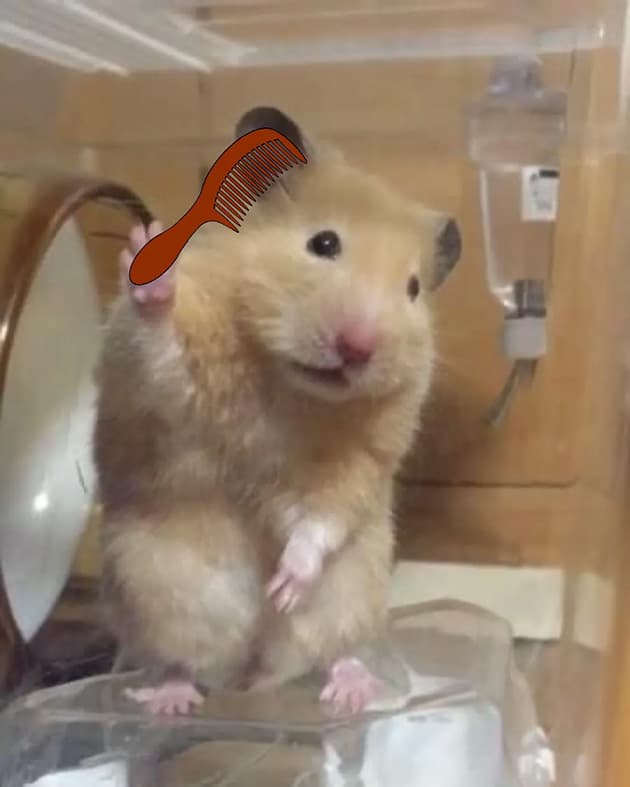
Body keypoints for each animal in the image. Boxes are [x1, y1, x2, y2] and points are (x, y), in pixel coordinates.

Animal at [93, 106, 461, 717]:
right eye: (324, 242)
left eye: (412, 288)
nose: (358, 348)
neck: (284, 380)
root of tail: (255, 667)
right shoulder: (165, 390)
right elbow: (163, 350)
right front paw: (146, 262)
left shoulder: (358, 462)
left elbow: (320, 519)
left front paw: (286, 585)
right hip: (161, 591)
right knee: (183, 660)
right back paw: (171, 700)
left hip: (352, 592)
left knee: (332, 649)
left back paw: (349, 688)